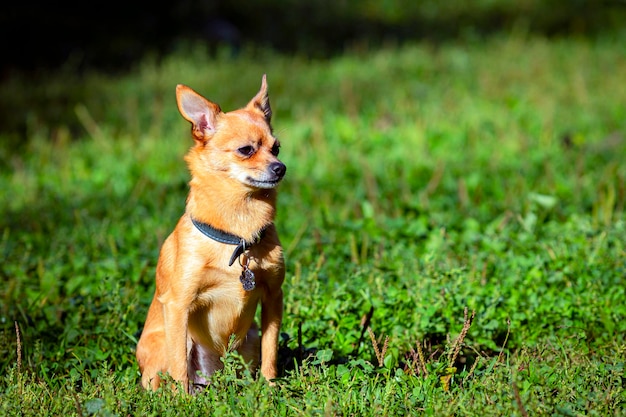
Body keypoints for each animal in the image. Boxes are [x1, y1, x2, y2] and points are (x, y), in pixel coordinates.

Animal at [136, 75, 286, 394]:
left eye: (276, 148)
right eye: (246, 150)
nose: (281, 168)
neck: (238, 232)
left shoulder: (273, 298)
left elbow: (271, 352)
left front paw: (270, 389)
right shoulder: (179, 306)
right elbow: (179, 367)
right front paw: (181, 400)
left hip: (249, 339)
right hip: (169, 342)